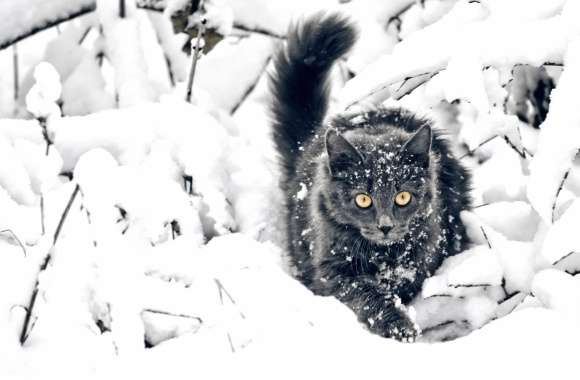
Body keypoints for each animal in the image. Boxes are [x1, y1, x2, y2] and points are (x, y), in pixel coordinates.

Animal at [270, 12, 472, 342]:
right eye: (363, 199)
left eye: (403, 197)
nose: (385, 225)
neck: (383, 256)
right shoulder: (332, 269)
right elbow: (368, 294)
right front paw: (399, 327)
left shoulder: (425, 254)